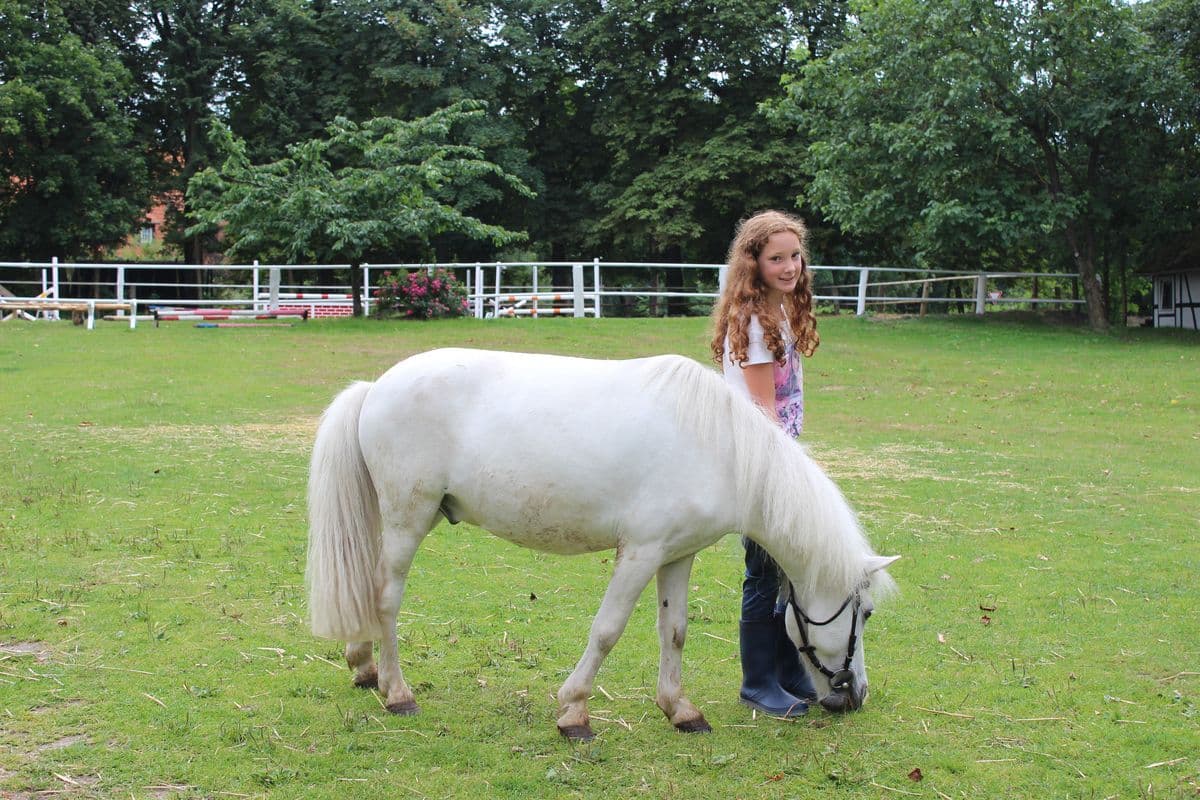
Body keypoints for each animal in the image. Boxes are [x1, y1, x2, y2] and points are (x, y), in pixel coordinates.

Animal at [304, 347, 897, 743]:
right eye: (865, 612)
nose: (856, 696)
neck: (720, 447)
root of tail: (376, 386)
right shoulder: (640, 552)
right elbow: (607, 631)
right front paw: (574, 712)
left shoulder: (677, 555)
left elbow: (674, 632)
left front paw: (680, 710)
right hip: (408, 521)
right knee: (385, 599)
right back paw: (397, 693)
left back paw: (363, 666)